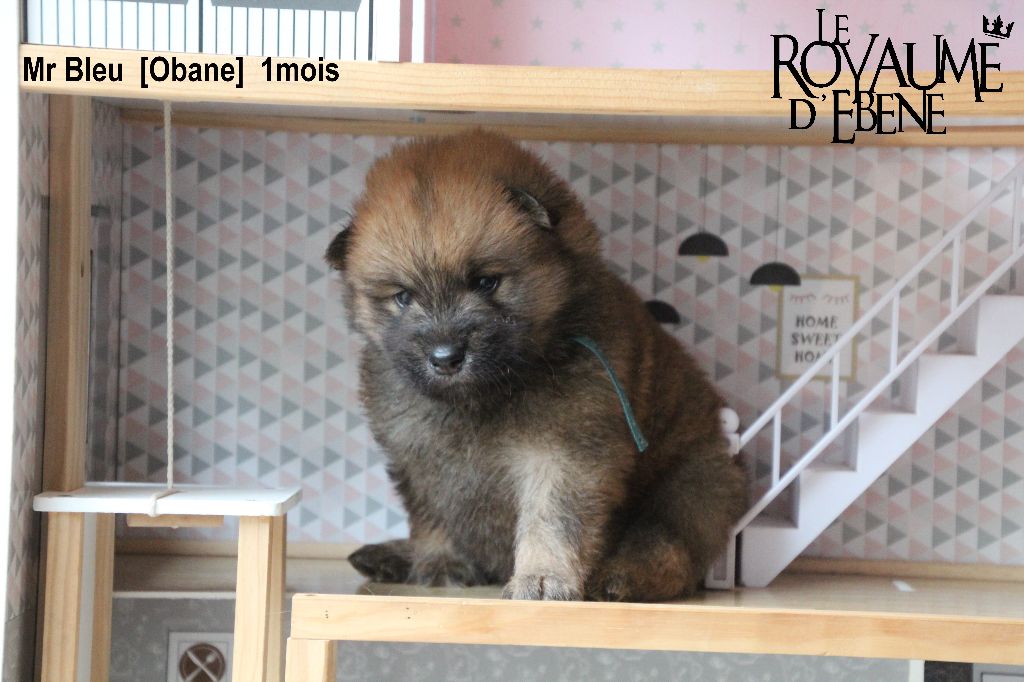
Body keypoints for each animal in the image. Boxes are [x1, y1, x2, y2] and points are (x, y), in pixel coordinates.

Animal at [326, 130, 746, 601]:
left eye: (486, 282)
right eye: (402, 297)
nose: (445, 357)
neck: (486, 397)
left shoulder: (564, 451)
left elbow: (553, 520)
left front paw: (543, 579)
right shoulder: (419, 459)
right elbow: (433, 518)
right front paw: (440, 564)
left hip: (691, 487)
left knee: (666, 547)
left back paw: (620, 577)